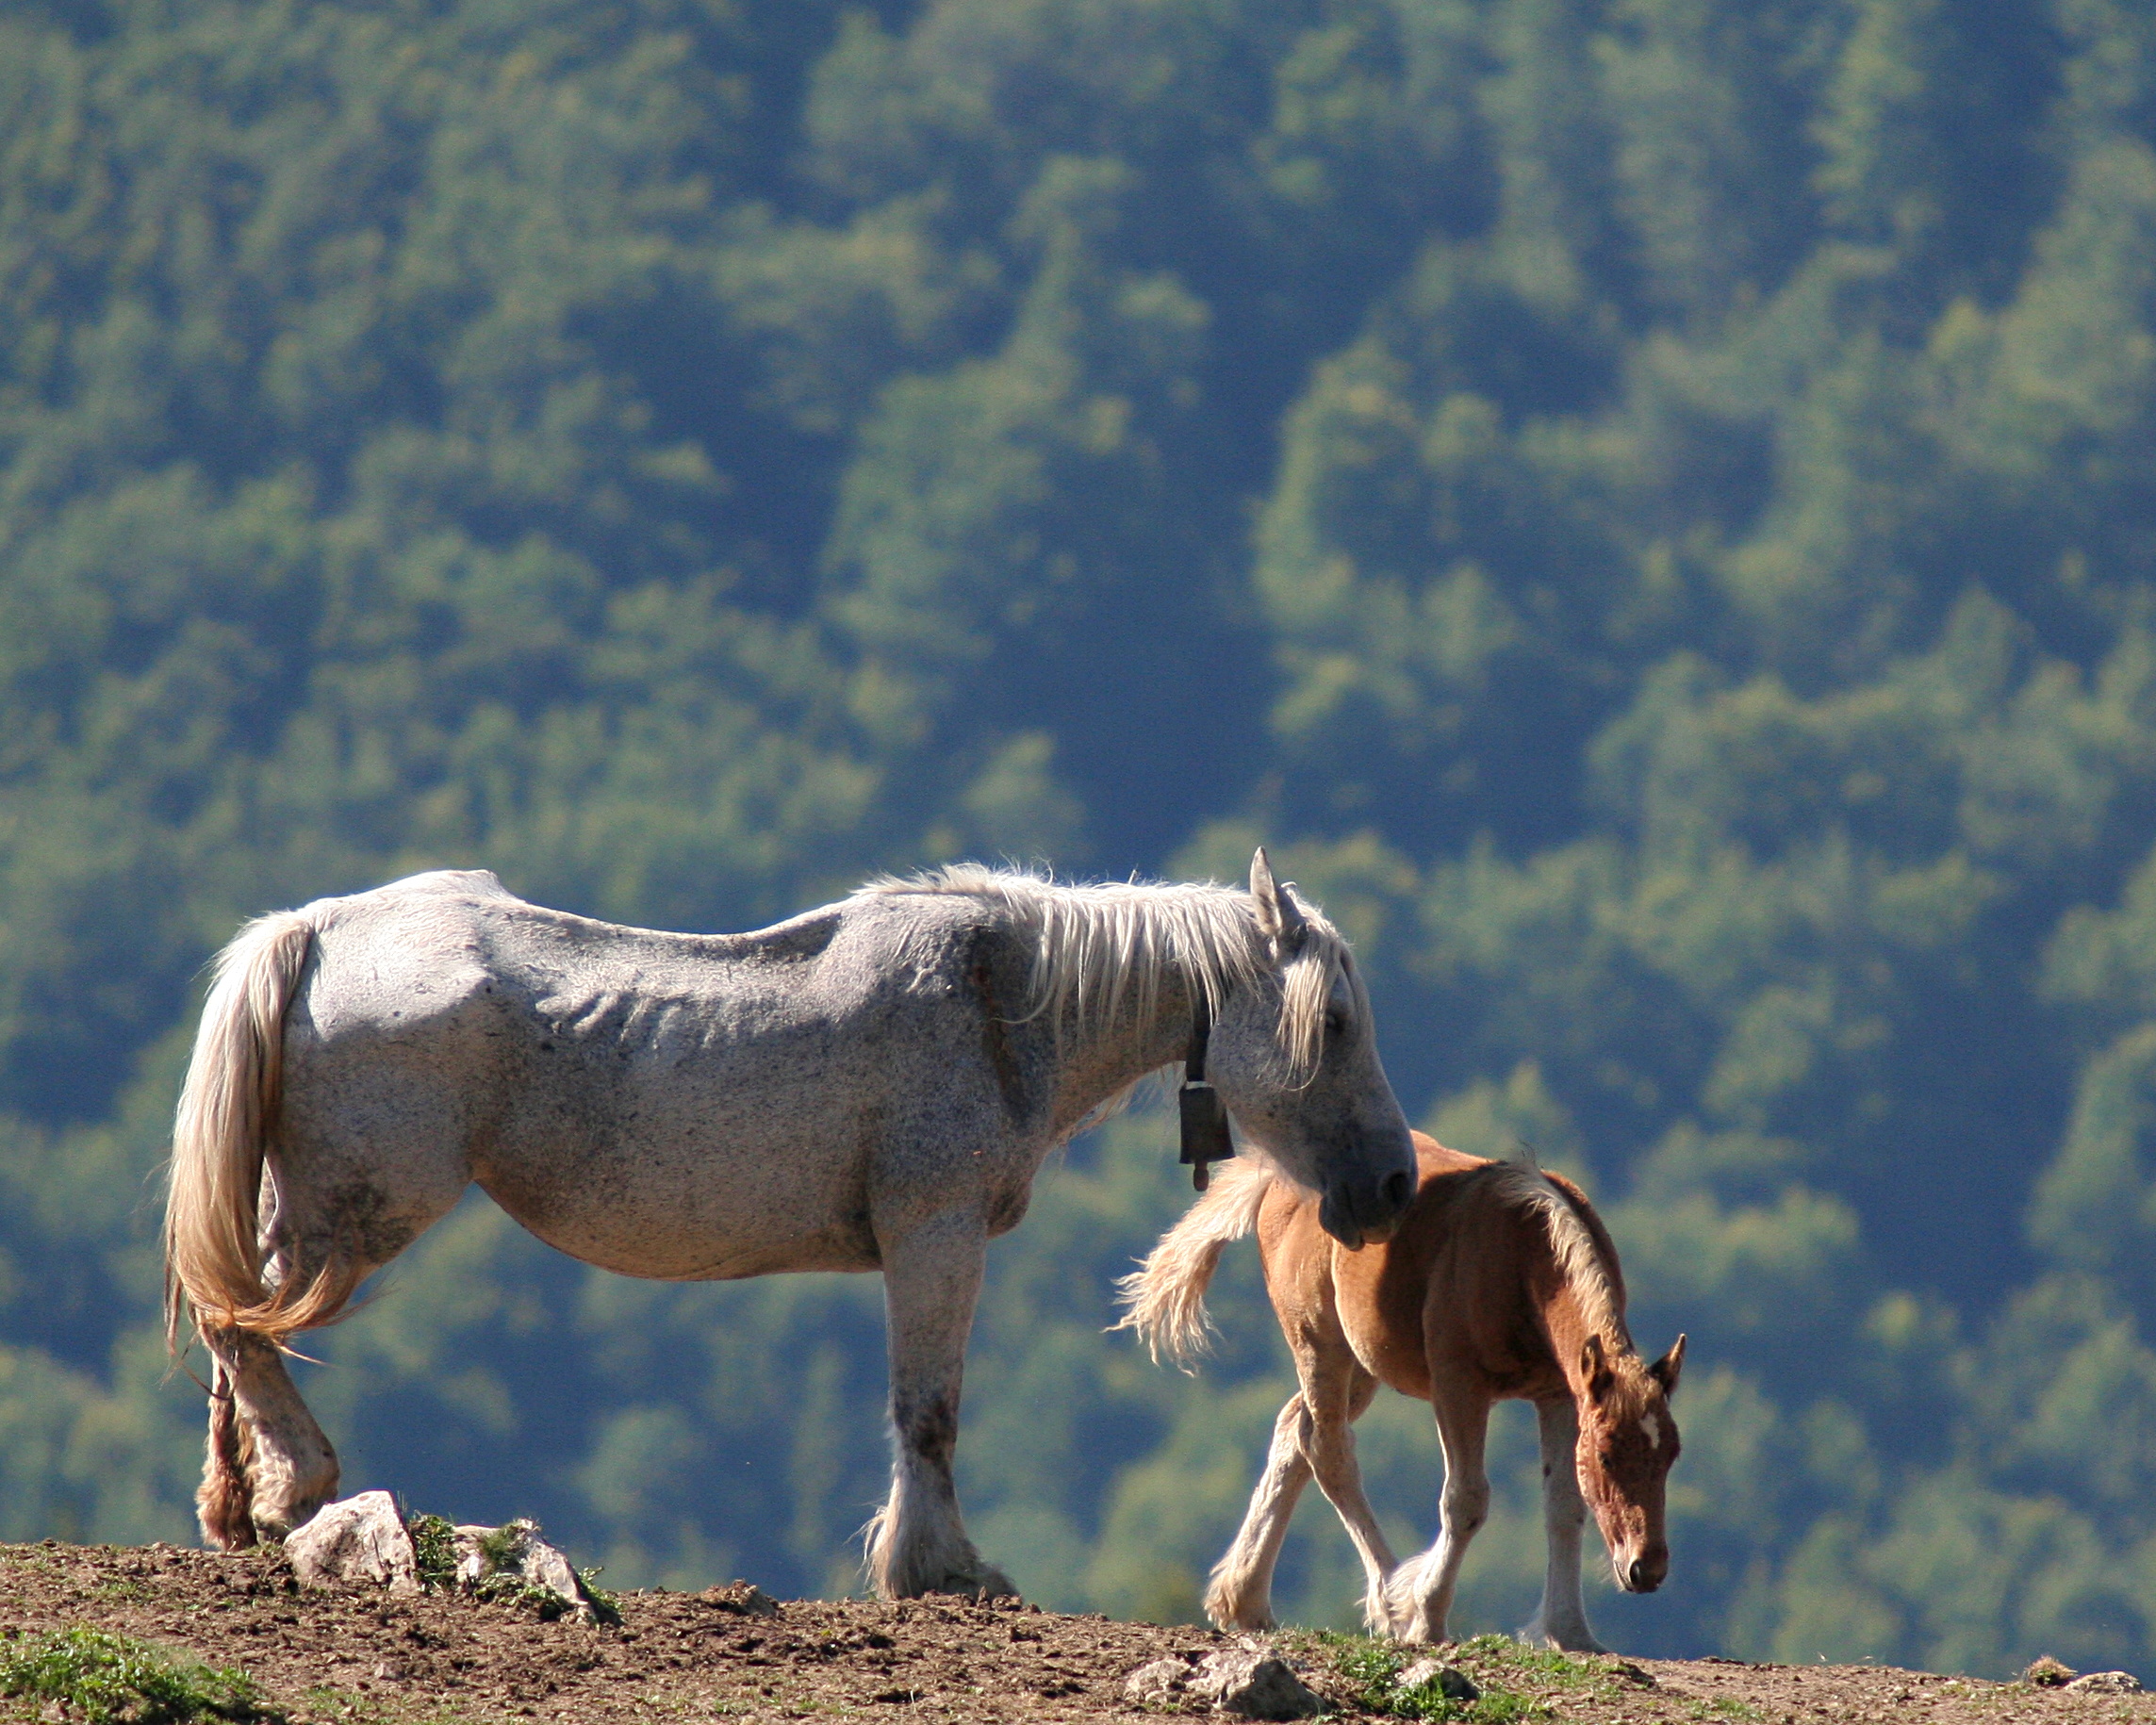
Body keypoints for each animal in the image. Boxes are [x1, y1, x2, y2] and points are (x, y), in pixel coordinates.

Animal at [163, 849, 1414, 1586]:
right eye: (1335, 1022)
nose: (1394, 1185)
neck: (1002, 1008)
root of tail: (316, 929)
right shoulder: (934, 1231)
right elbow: (928, 1414)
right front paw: (939, 1570)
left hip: (298, 1205)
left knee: (241, 1329)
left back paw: (243, 1506)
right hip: (356, 1211)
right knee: (246, 1327)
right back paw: (302, 1485)